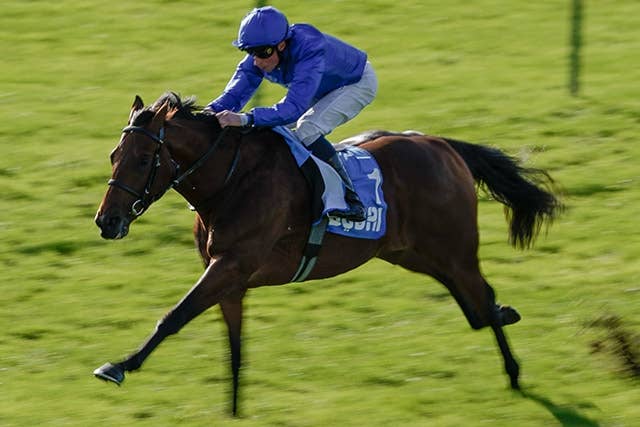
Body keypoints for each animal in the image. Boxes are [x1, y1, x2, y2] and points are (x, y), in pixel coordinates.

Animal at [94, 92, 561, 415]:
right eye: (114, 155)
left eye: (142, 159)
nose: (106, 221)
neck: (232, 181)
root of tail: (442, 145)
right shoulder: (228, 275)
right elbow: (234, 345)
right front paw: (234, 410)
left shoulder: (233, 265)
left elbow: (174, 316)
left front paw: (119, 366)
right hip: (413, 253)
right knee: (477, 304)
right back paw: (504, 317)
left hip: (453, 248)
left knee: (480, 295)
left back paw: (514, 372)